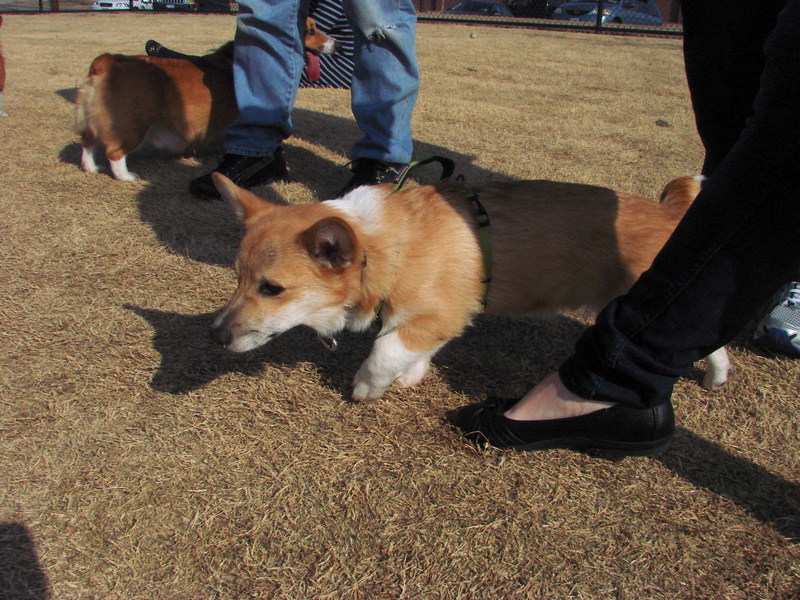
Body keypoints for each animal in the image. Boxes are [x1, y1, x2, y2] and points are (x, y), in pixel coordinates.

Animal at [74, 19, 338, 183]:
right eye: (310, 30)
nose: (336, 44)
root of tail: (107, 61)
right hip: (133, 124)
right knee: (114, 151)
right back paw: (126, 176)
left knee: (87, 142)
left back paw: (91, 167)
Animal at [209, 172, 728, 398]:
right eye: (237, 278)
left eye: (272, 288)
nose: (215, 336)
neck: (384, 245)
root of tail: (671, 213)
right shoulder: (437, 319)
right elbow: (413, 348)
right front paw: (412, 374)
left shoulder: (438, 312)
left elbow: (384, 350)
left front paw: (367, 388)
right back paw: (716, 378)